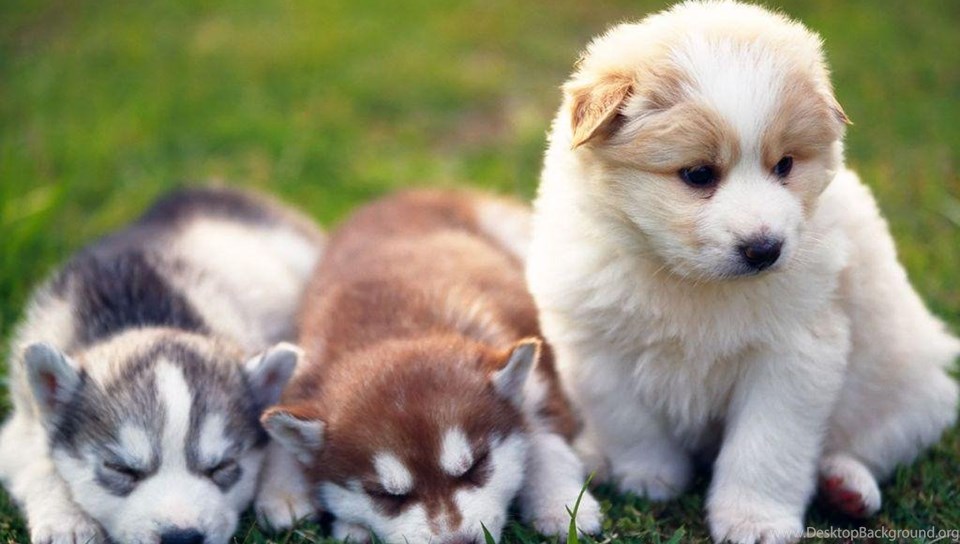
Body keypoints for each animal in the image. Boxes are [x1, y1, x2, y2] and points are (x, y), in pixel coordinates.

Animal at [0, 187, 324, 544]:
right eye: (122, 469)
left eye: (222, 467)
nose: (181, 538)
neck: (144, 315)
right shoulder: (18, 428)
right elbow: (37, 460)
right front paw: (67, 521)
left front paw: (284, 494)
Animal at [257, 190, 601, 543]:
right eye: (387, 496)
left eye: (475, 467)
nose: (458, 543)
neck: (391, 327)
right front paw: (287, 495)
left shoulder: (533, 374)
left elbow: (545, 439)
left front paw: (558, 503)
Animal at [525, 2, 960, 543]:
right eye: (698, 174)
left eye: (785, 165)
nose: (765, 249)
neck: (688, 280)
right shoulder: (597, 350)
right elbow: (631, 424)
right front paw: (651, 478)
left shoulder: (792, 357)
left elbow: (765, 447)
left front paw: (755, 521)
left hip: (915, 393)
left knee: (874, 444)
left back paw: (846, 486)